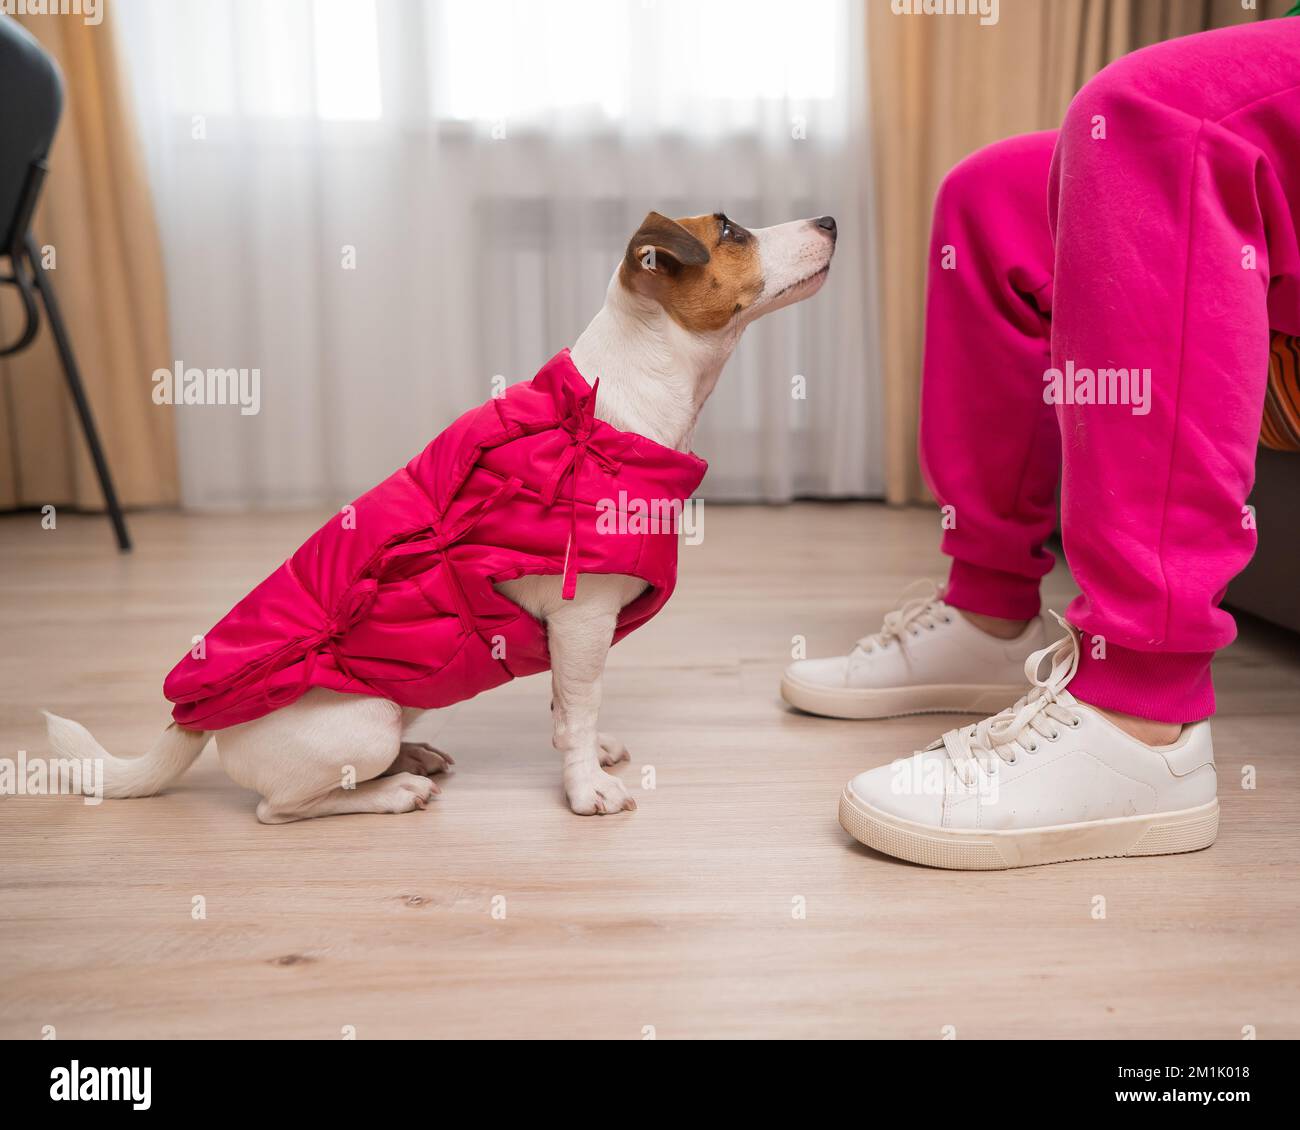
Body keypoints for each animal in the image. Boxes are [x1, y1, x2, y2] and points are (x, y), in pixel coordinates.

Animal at [45, 209, 837, 821]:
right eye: (730, 230)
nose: (830, 220)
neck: (602, 411)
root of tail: (193, 726)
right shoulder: (582, 619)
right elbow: (579, 709)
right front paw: (587, 789)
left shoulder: (565, 637)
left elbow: (566, 708)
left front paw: (585, 751)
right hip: (362, 723)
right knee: (281, 808)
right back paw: (392, 791)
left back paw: (414, 757)